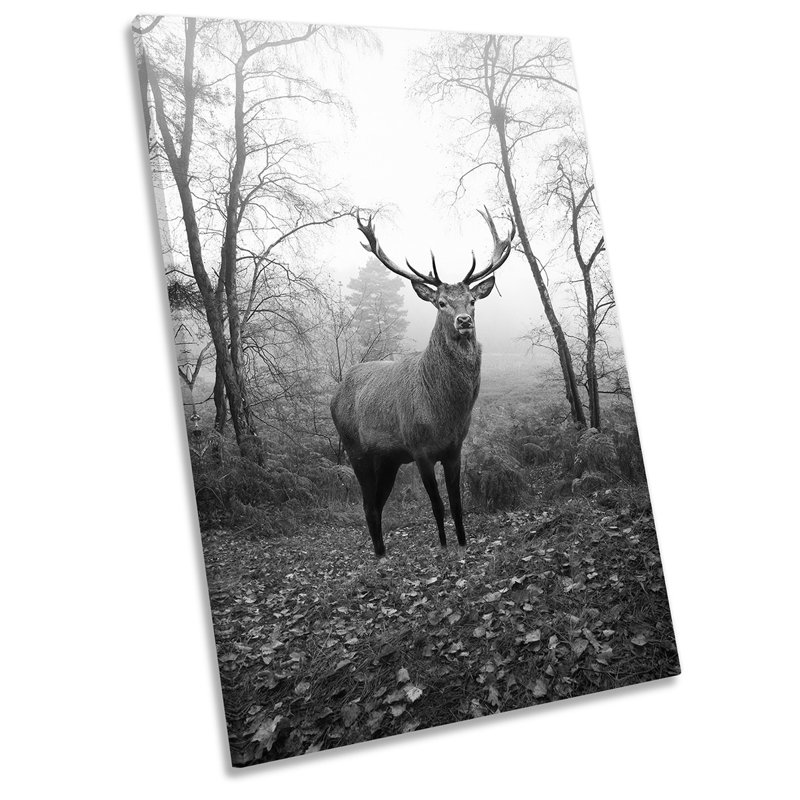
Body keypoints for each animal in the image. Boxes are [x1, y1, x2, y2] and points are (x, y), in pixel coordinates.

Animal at [330, 209, 515, 558]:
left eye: (472, 300)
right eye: (441, 302)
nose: (463, 321)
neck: (443, 412)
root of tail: (335, 395)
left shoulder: (455, 448)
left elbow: (457, 504)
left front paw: (462, 544)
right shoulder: (420, 449)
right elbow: (437, 506)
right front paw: (443, 548)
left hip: (388, 459)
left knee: (377, 502)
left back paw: (383, 551)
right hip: (354, 448)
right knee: (367, 504)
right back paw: (379, 557)